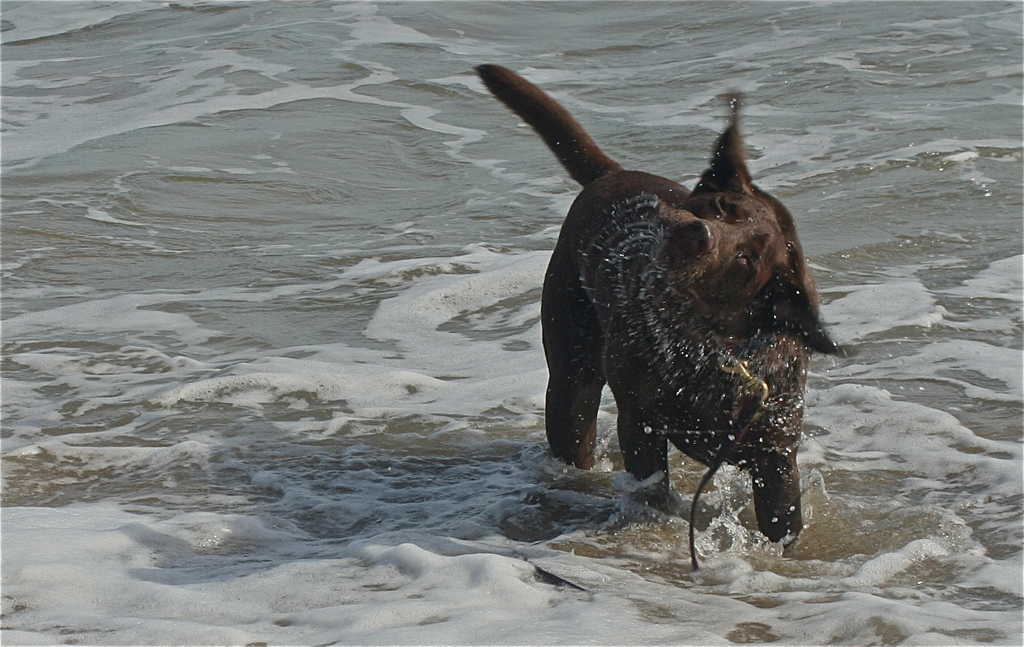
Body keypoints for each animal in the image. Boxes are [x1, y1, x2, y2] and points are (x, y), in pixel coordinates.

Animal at [475, 63, 835, 561]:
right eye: (722, 207)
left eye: (747, 260)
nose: (697, 234)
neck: (714, 354)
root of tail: (613, 173)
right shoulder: (641, 426)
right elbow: (652, 490)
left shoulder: (776, 460)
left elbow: (783, 526)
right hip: (572, 385)